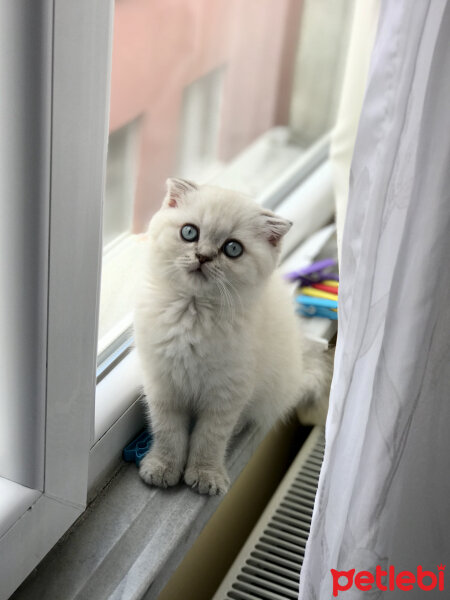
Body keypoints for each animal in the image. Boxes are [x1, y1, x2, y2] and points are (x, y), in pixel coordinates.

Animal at [133, 179, 330, 496]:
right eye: (190, 232)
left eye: (232, 249)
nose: (202, 256)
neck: (193, 312)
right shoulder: (162, 383)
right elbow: (167, 430)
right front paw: (162, 467)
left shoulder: (228, 391)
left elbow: (210, 437)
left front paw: (206, 475)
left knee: (243, 419)